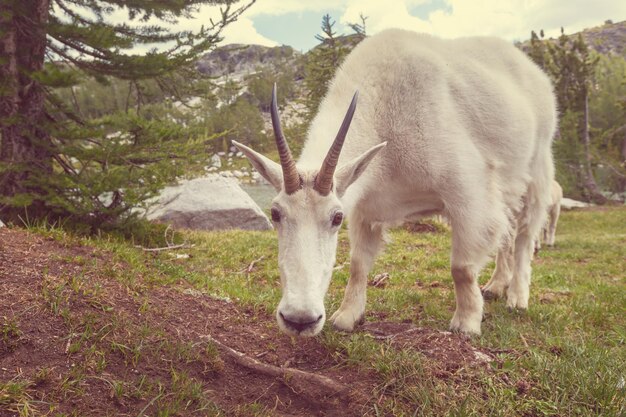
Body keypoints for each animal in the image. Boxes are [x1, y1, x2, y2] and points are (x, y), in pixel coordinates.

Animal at [232, 28, 552, 334]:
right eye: (275, 213)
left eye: (336, 217)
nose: (300, 319)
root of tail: (534, 70)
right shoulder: (365, 207)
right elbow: (358, 264)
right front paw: (347, 317)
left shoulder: (468, 192)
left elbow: (461, 267)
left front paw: (467, 323)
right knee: (508, 231)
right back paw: (497, 286)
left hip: (538, 169)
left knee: (525, 235)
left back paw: (517, 297)